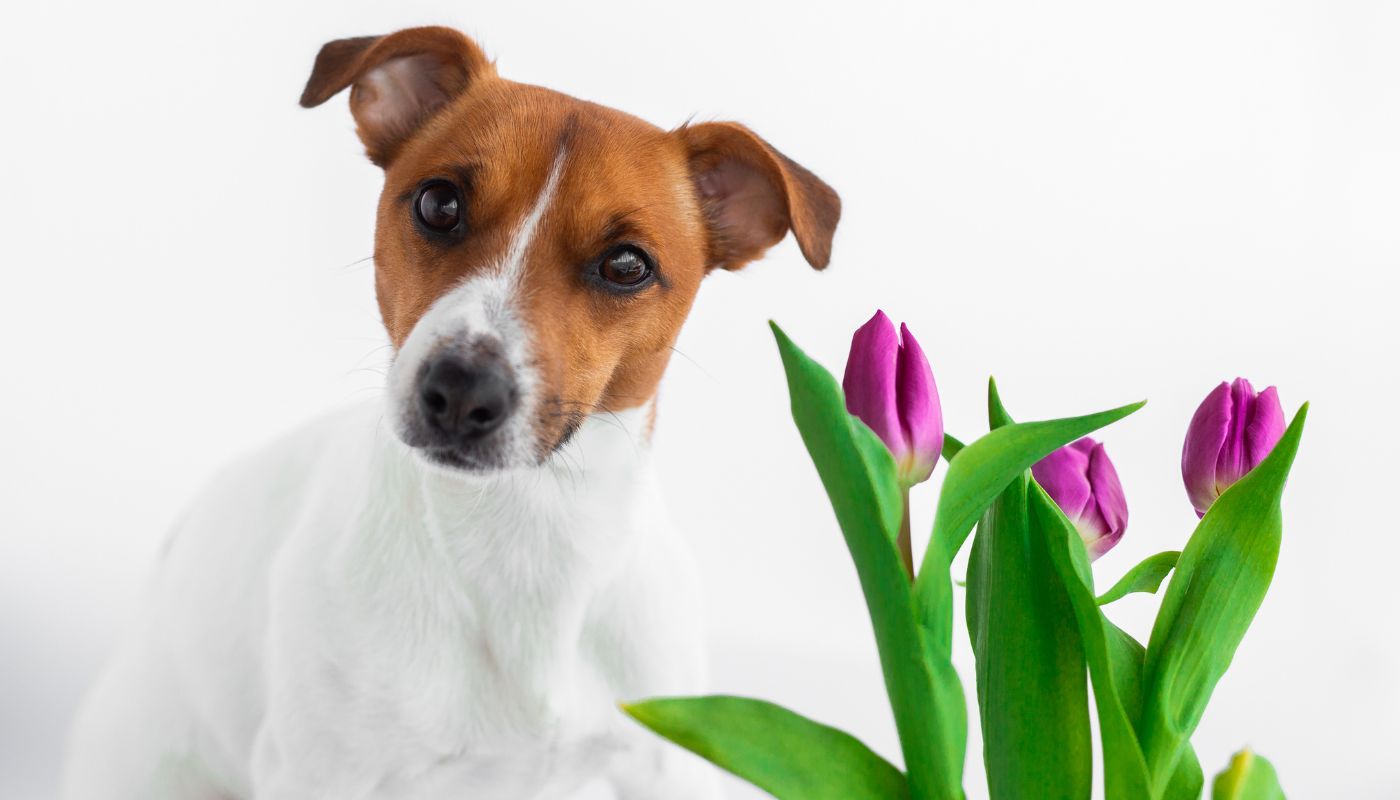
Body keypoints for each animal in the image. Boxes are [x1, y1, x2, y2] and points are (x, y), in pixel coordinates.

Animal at [60, 25, 834, 800]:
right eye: (439, 204)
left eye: (626, 265)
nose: (462, 390)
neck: (524, 533)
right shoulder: (325, 770)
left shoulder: (664, 761)